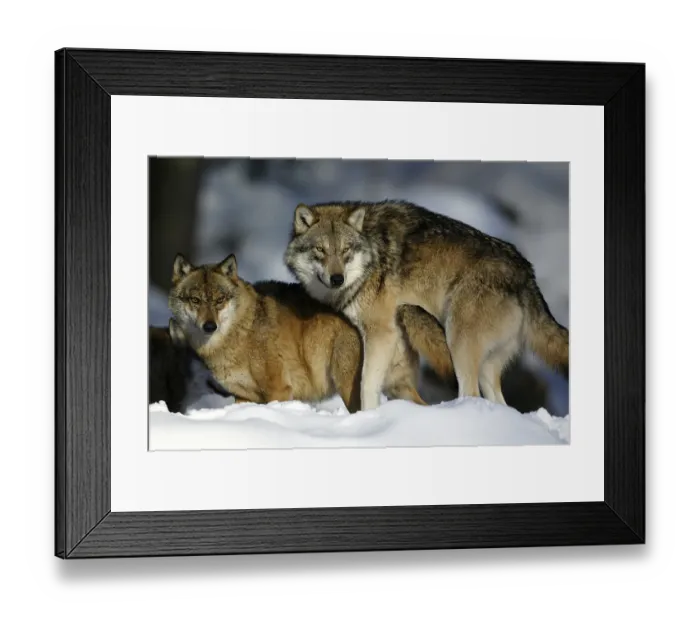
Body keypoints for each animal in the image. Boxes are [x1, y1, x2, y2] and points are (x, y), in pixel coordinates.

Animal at [168, 253, 454, 413]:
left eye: (219, 300)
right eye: (195, 300)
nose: (209, 326)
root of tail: (398, 305)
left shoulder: (278, 390)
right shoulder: (243, 398)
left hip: (351, 386)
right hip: (396, 388)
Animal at [284, 200, 569, 411]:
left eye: (345, 251)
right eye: (320, 250)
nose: (337, 279)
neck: (371, 255)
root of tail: (526, 274)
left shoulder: (381, 332)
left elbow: (366, 384)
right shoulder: (394, 336)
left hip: (459, 342)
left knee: (470, 393)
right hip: (486, 367)